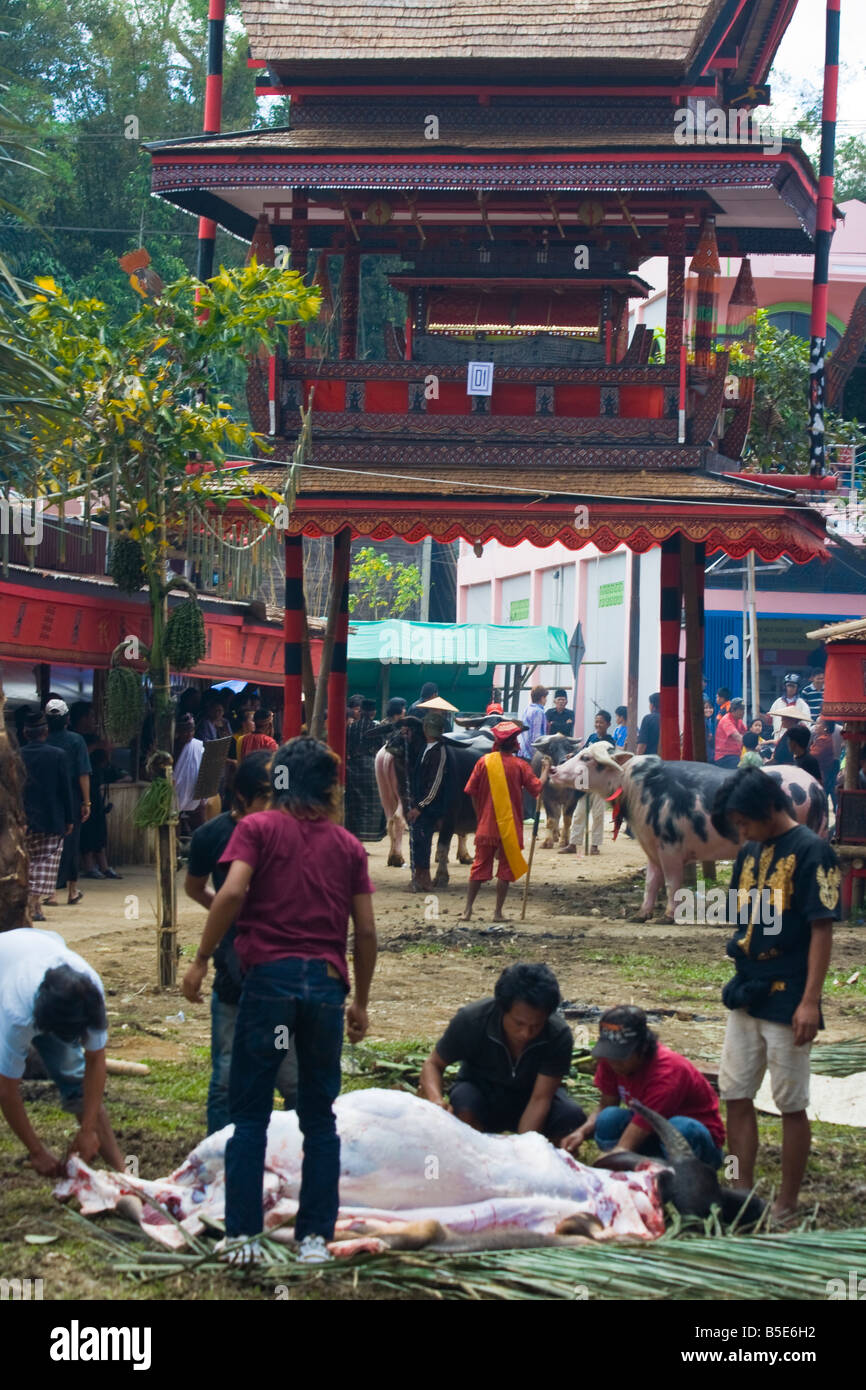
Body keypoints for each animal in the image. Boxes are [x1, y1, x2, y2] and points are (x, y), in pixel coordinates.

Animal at [553, 750, 828, 922]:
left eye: (586, 757)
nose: (554, 769)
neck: (639, 787)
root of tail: (814, 786)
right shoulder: (651, 849)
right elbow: (651, 882)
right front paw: (642, 914)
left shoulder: (670, 849)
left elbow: (672, 883)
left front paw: (668, 916)